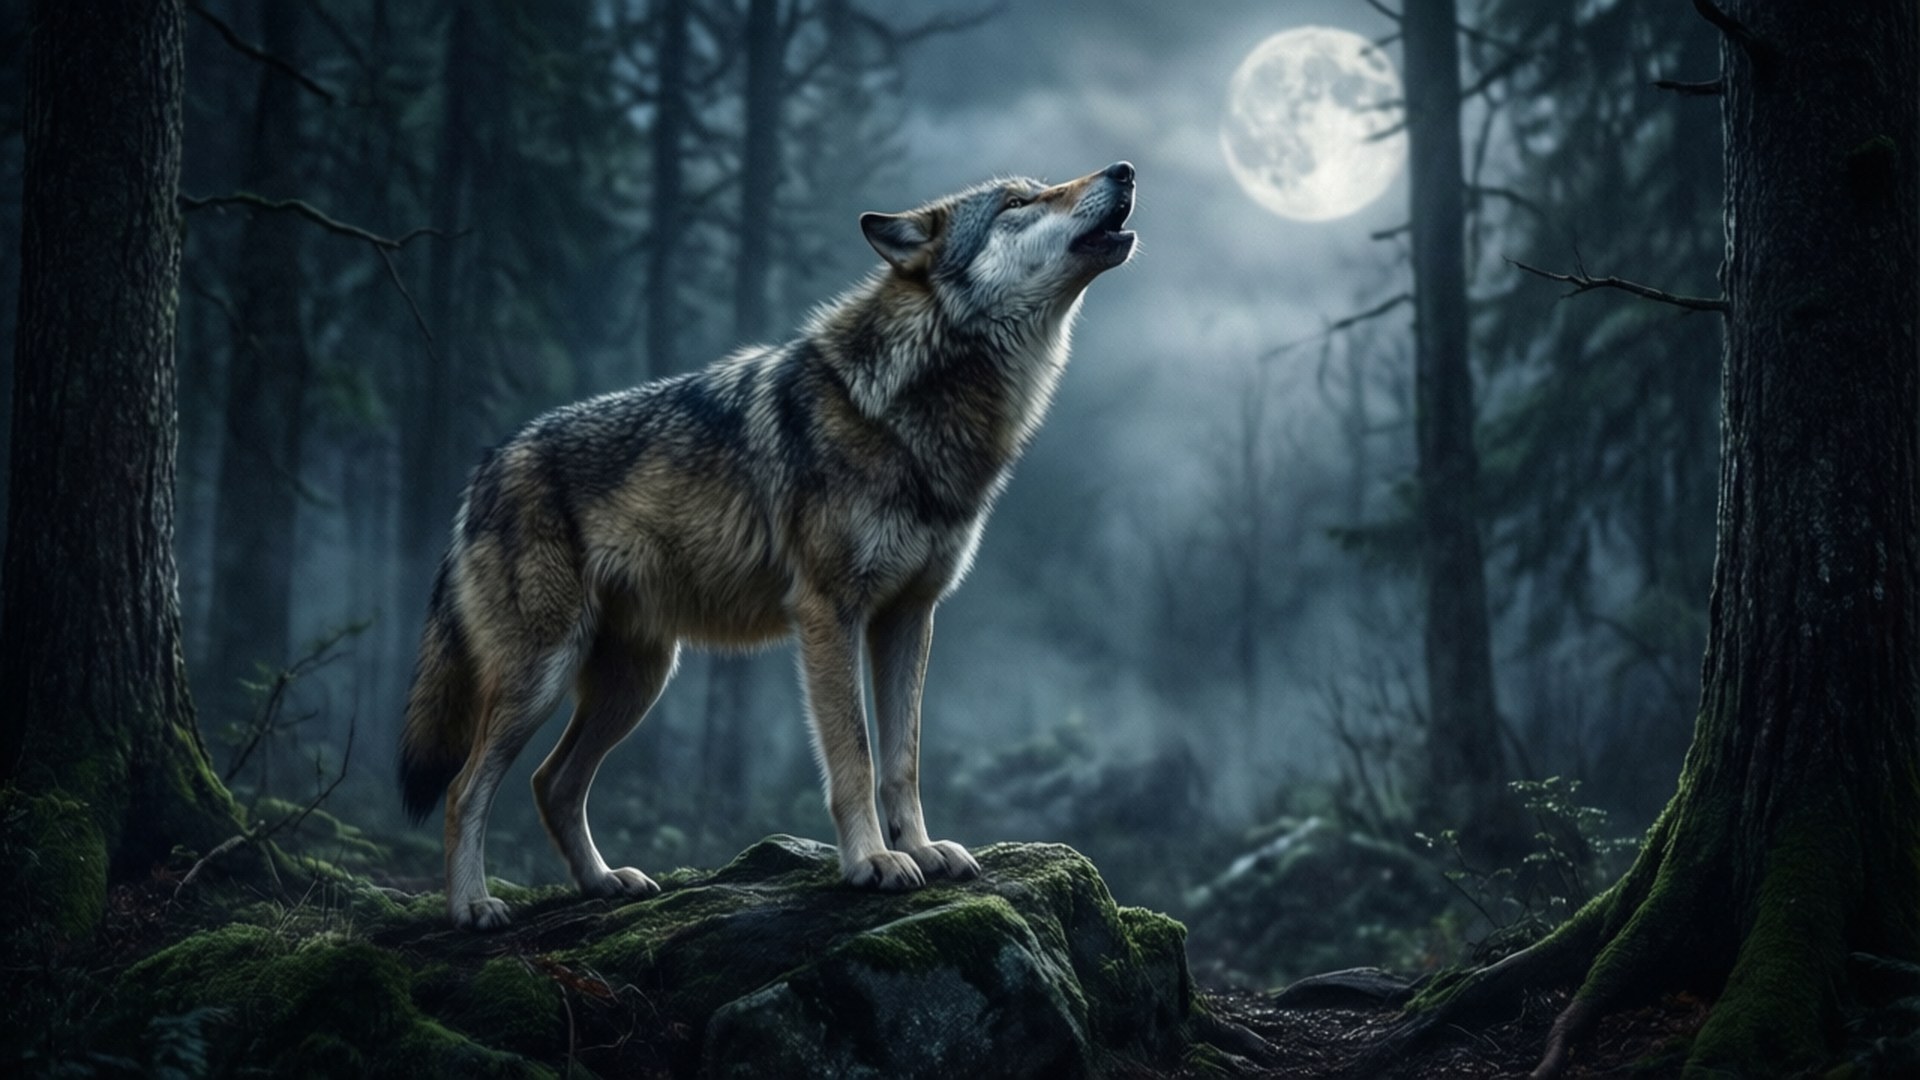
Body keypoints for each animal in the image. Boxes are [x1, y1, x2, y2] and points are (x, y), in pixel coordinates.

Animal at [398, 161, 1138, 929]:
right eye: (1020, 202)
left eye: (1038, 189)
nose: (1124, 170)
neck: (913, 404)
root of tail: (486, 466)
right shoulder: (829, 612)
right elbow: (855, 755)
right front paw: (872, 862)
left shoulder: (909, 615)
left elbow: (903, 761)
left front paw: (922, 851)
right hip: (542, 674)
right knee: (465, 789)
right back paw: (472, 906)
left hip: (638, 681)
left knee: (553, 782)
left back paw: (604, 883)